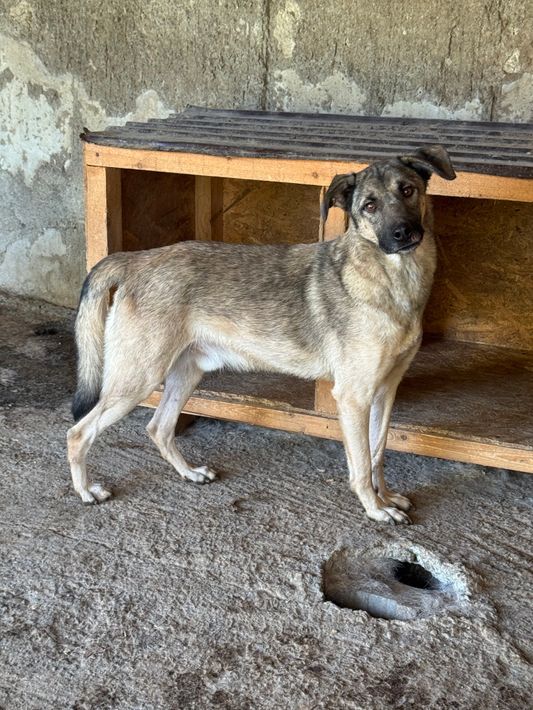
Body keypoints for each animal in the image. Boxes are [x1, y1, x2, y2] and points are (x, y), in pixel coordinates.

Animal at [67, 145, 455, 523]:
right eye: (369, 206)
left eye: (407, 190)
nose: (403, 234)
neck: (393, 280)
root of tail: (136, 260)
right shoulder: (353, 397)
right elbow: (361, 464)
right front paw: (374, 508)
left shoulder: (385, 392)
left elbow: (377, 454)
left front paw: (384, 497)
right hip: (138, 378)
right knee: (78, 433)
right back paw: (86, 491)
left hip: (185, 373)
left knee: (158, 428)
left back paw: (189, 473)